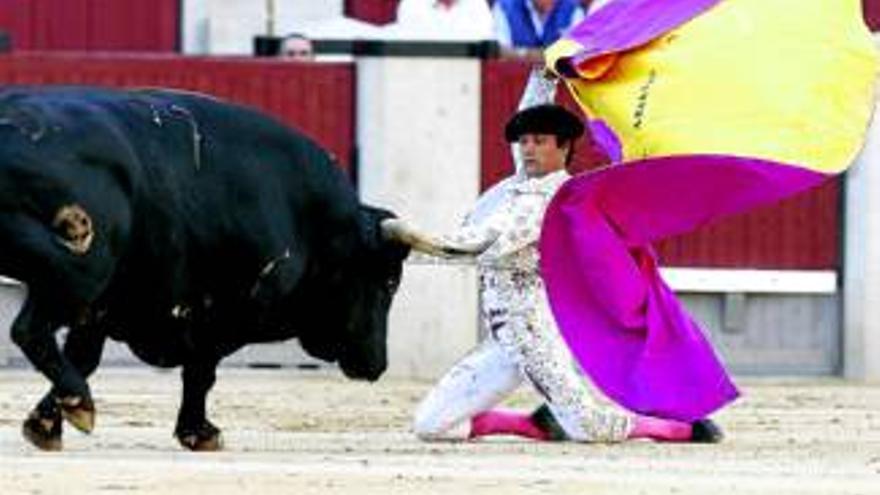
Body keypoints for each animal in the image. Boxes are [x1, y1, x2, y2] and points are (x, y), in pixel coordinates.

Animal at [0, 87, 420, 452]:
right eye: (389, 281)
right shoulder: (224, 314)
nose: (377, 364)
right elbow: (201, 371)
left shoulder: (106, 307)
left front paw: (44, 425)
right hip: (83, 265)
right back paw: (83, 402)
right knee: (29, 328)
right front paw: (198, 432)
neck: (310, 217)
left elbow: (84, 357)